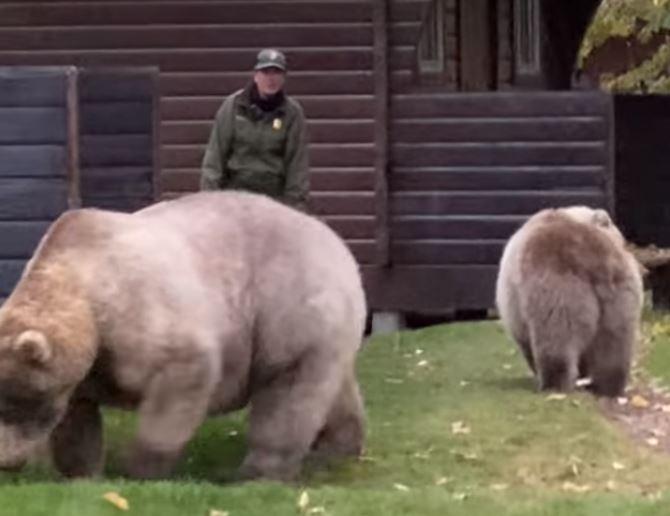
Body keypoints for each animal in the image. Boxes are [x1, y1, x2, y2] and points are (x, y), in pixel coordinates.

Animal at [0, 191, 367, 481]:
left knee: (288, 394)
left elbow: (181, 380)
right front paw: (82, 473)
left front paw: (139, 470)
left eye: (16, 403)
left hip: (287, 310)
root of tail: (335, 242)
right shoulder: (86, 368)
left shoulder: (142, 319)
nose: (5, 462)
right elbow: (77, 419)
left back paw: (259, 471)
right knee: (334, 390)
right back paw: (338, 448)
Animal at [495, 206, 643, 397]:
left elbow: (525, 341)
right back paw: (609, 386)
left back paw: (554, 385)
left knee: (556, 339)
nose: (625, 242)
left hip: (557, 288)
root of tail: (596, 260)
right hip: (621, 293)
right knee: (615, 342)